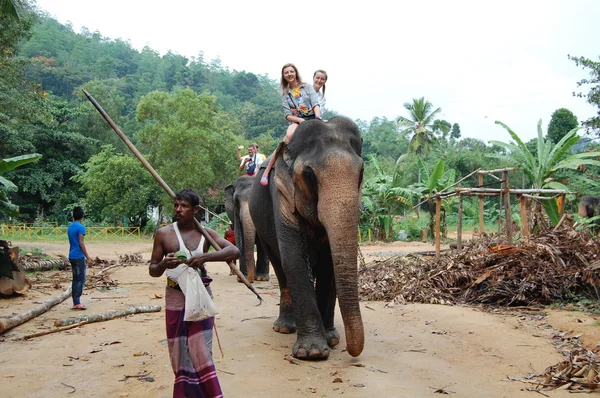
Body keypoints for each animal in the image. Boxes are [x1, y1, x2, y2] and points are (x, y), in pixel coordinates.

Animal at [250, 116, 366, 360]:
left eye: (361, 173)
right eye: (309, 175)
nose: (353, 352)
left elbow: (329, 263)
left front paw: (331, 340)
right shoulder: (282, 194)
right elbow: (294, 258)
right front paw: (312, 352)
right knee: (280, 267)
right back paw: (285, 327)